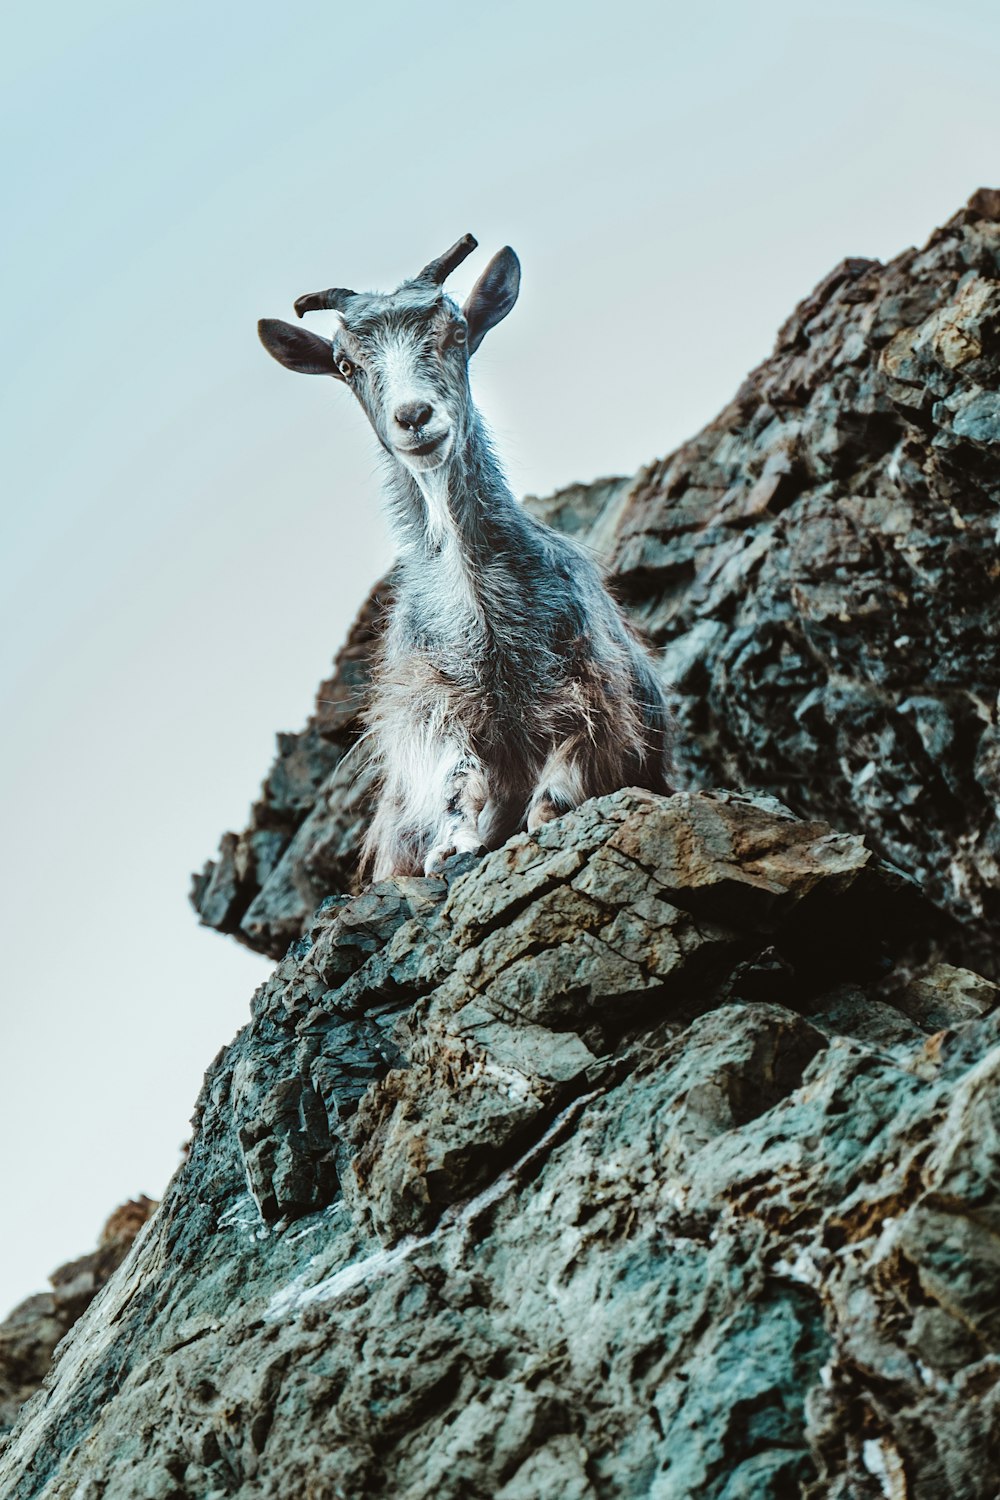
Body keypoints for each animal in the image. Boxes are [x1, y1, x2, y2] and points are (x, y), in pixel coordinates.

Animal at [257, 228, 671, 876]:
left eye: (455, 331)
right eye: (346, 365)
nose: (413, 416)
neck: (483, 615)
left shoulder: (597, 688)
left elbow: (570, 763)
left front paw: (544, 813)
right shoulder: (428, 703)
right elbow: (455, 774)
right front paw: (452, 844)